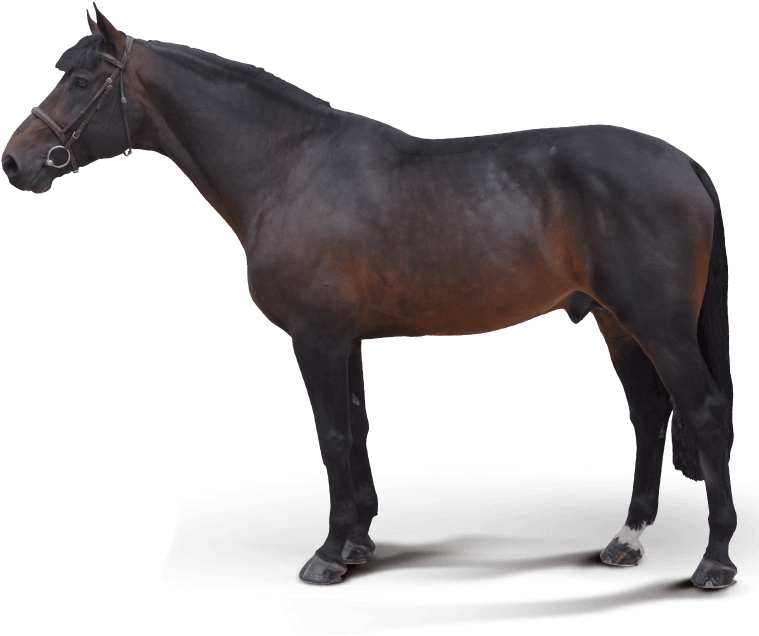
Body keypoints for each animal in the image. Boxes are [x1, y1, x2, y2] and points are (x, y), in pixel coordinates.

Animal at [2, 7, 736, 588]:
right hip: (617, 324)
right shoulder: (346, 338)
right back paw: (626, 540)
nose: (15, 160)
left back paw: (716, 559)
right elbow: (356, 430)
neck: (288, 167)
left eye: (81, 81)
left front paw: (327, 554)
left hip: (661, 327)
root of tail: (683, 162)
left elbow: (330, 435)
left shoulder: (317, 337)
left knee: (702, 412)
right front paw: (357, 542)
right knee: (649, 415)